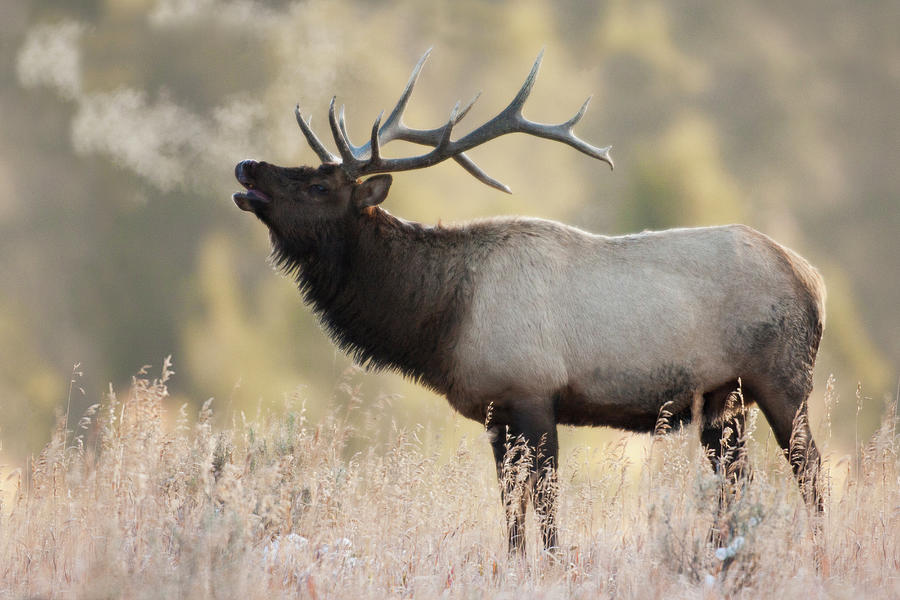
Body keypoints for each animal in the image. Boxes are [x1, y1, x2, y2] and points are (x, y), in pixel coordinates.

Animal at [232, 50, 824, 552]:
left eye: (319, 186)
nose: (246, 166)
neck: (442, 318)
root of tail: (815, 282)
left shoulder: (533, 395)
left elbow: (544, 505)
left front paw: (557, 565)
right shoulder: (497, 414)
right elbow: (512, 513)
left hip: (782, 380)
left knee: (811, 474)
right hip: (724, 403)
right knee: (736, 487)